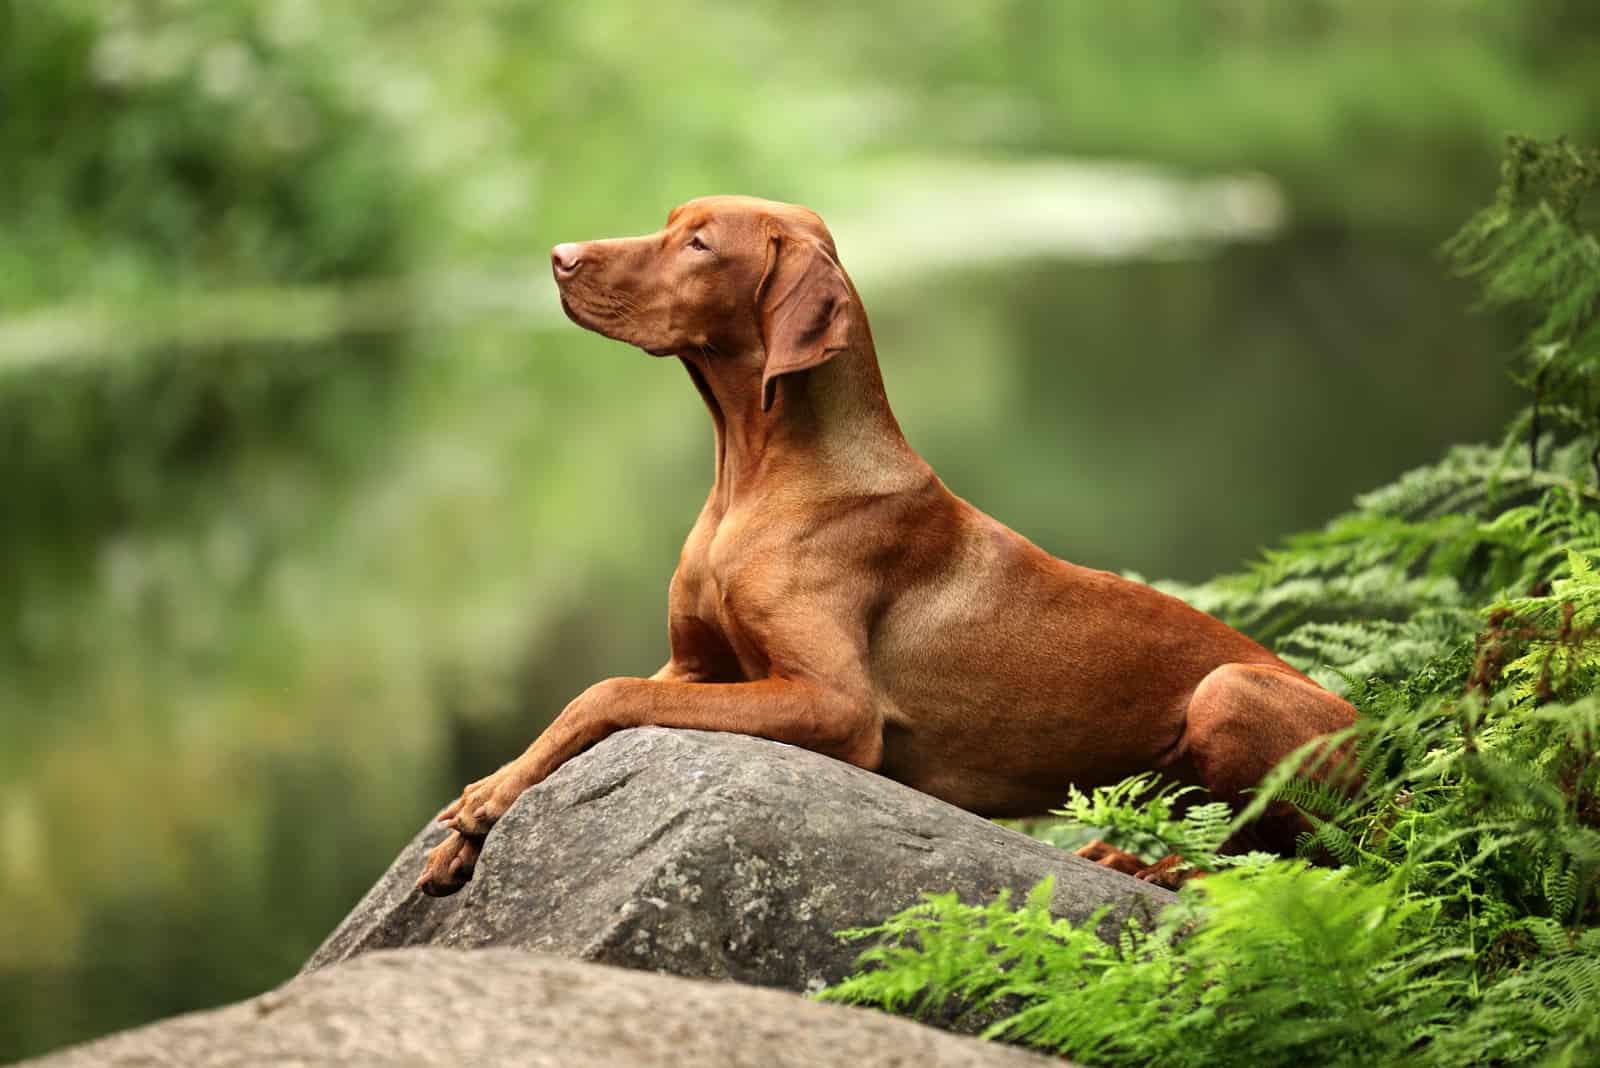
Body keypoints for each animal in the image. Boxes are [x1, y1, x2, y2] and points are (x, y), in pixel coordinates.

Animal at [409, 195, 1350, 895]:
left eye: (700, 243)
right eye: (670, 222)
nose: (559, 255)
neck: (749, 479)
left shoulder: (834, 705)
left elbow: (603, 692)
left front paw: (484, 798)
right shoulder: (695, 665)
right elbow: (583, 704)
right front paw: (479, 813)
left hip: (1230, 689)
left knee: (1289, 860)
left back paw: (1153, 867)